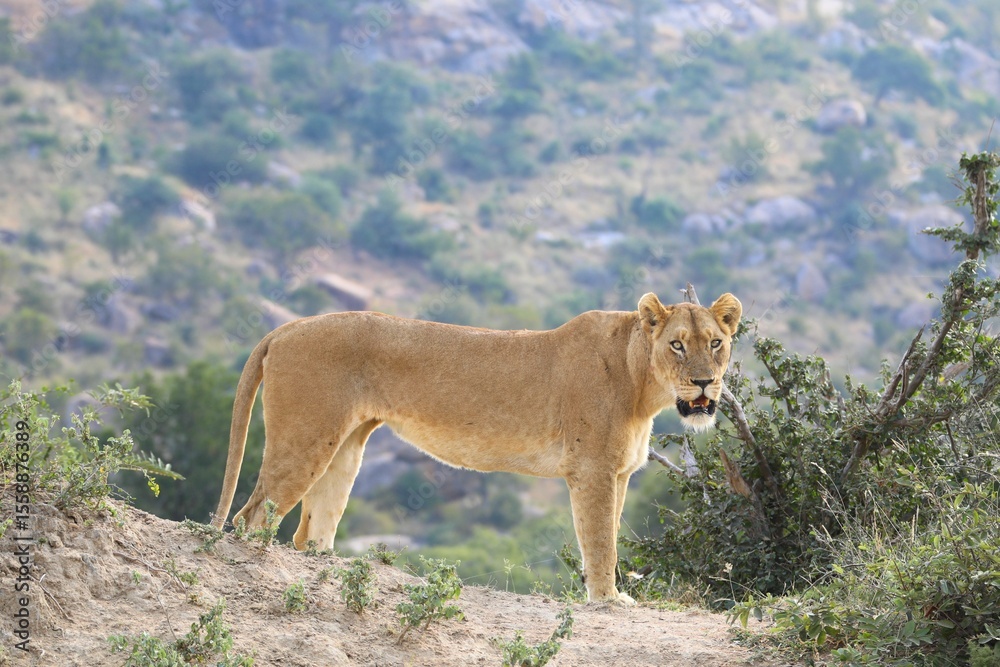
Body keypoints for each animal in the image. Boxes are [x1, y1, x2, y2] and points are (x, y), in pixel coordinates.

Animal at [212, 291, 741, 604]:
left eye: (716, 342)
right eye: (677, 344)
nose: (703, 383)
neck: (642, 386)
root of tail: (285, 328)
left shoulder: (619, 473)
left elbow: (606, 536)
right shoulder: (592, 469)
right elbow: (600, 541)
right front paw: (608, 602)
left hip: (344, 446)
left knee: (312, 532)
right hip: (304, 440)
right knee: (252, 518)